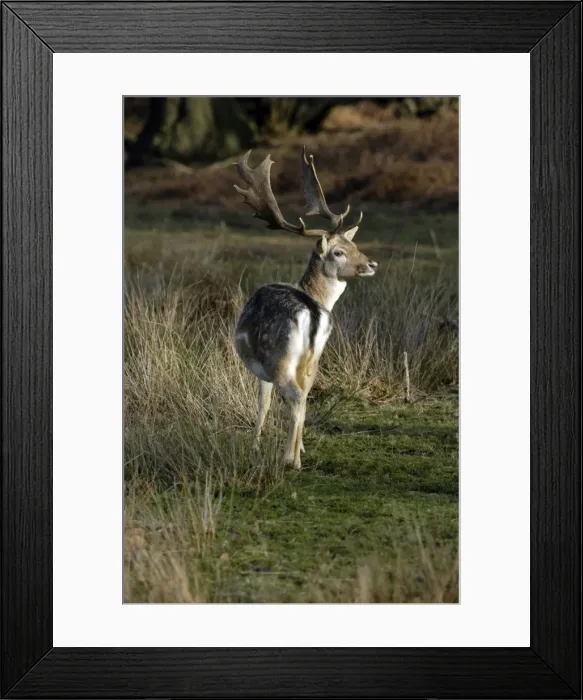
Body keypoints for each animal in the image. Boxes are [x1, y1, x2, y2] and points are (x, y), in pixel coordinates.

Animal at [233, 147, 378, 470]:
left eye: (353, 246)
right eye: (340, 251)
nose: (372, 264)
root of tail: (311, 313)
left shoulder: (262, 370)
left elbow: (263, 404)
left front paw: (255, 446)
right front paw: (301, 447)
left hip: (279, 358)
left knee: (296, 397)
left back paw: (290, 460)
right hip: (312, 358)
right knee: (305, 395)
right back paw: (297, 453)